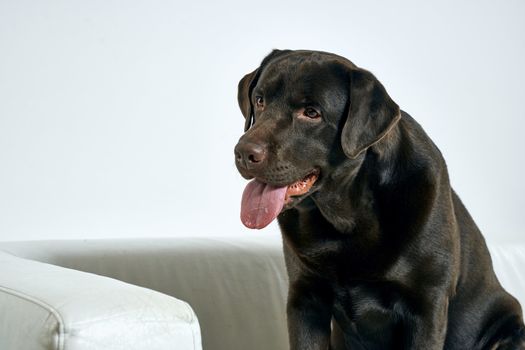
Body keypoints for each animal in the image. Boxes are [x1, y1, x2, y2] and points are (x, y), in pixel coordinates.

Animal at [235, 50, 524, 350]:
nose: (243, 153)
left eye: (311, 113)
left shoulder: (427, 306)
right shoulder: (305, 297)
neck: (347, 218)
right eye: (260, 100)